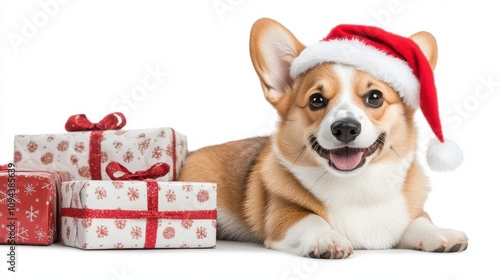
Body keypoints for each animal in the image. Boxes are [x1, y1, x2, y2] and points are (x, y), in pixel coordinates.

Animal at [178, 17, 466, 258]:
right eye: (316, 100)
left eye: (375, 97)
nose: (346, 128)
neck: (356, 187)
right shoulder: (281, 215)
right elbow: (310, 219)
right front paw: (328, 238)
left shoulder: (411, 212)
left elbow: (420, 220)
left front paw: (440, 233)